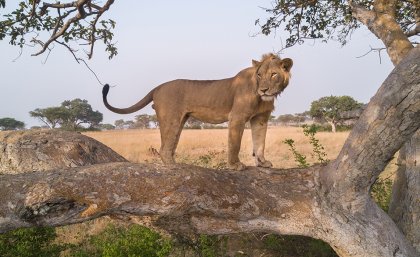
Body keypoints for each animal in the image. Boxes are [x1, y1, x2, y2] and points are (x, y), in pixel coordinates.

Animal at [102, 53, 292, 170]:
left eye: (273, 74)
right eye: (259, 75)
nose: (264, 90)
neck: (261, 97)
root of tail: (158, 87)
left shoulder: (260, 118)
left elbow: (260, 142)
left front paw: (262, 162)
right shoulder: (237, 117)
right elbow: (235, 144)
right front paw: (234, 165)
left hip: (180, 120)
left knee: (169, 146)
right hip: (171, 118)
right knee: (164, 148)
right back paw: (174, 166)